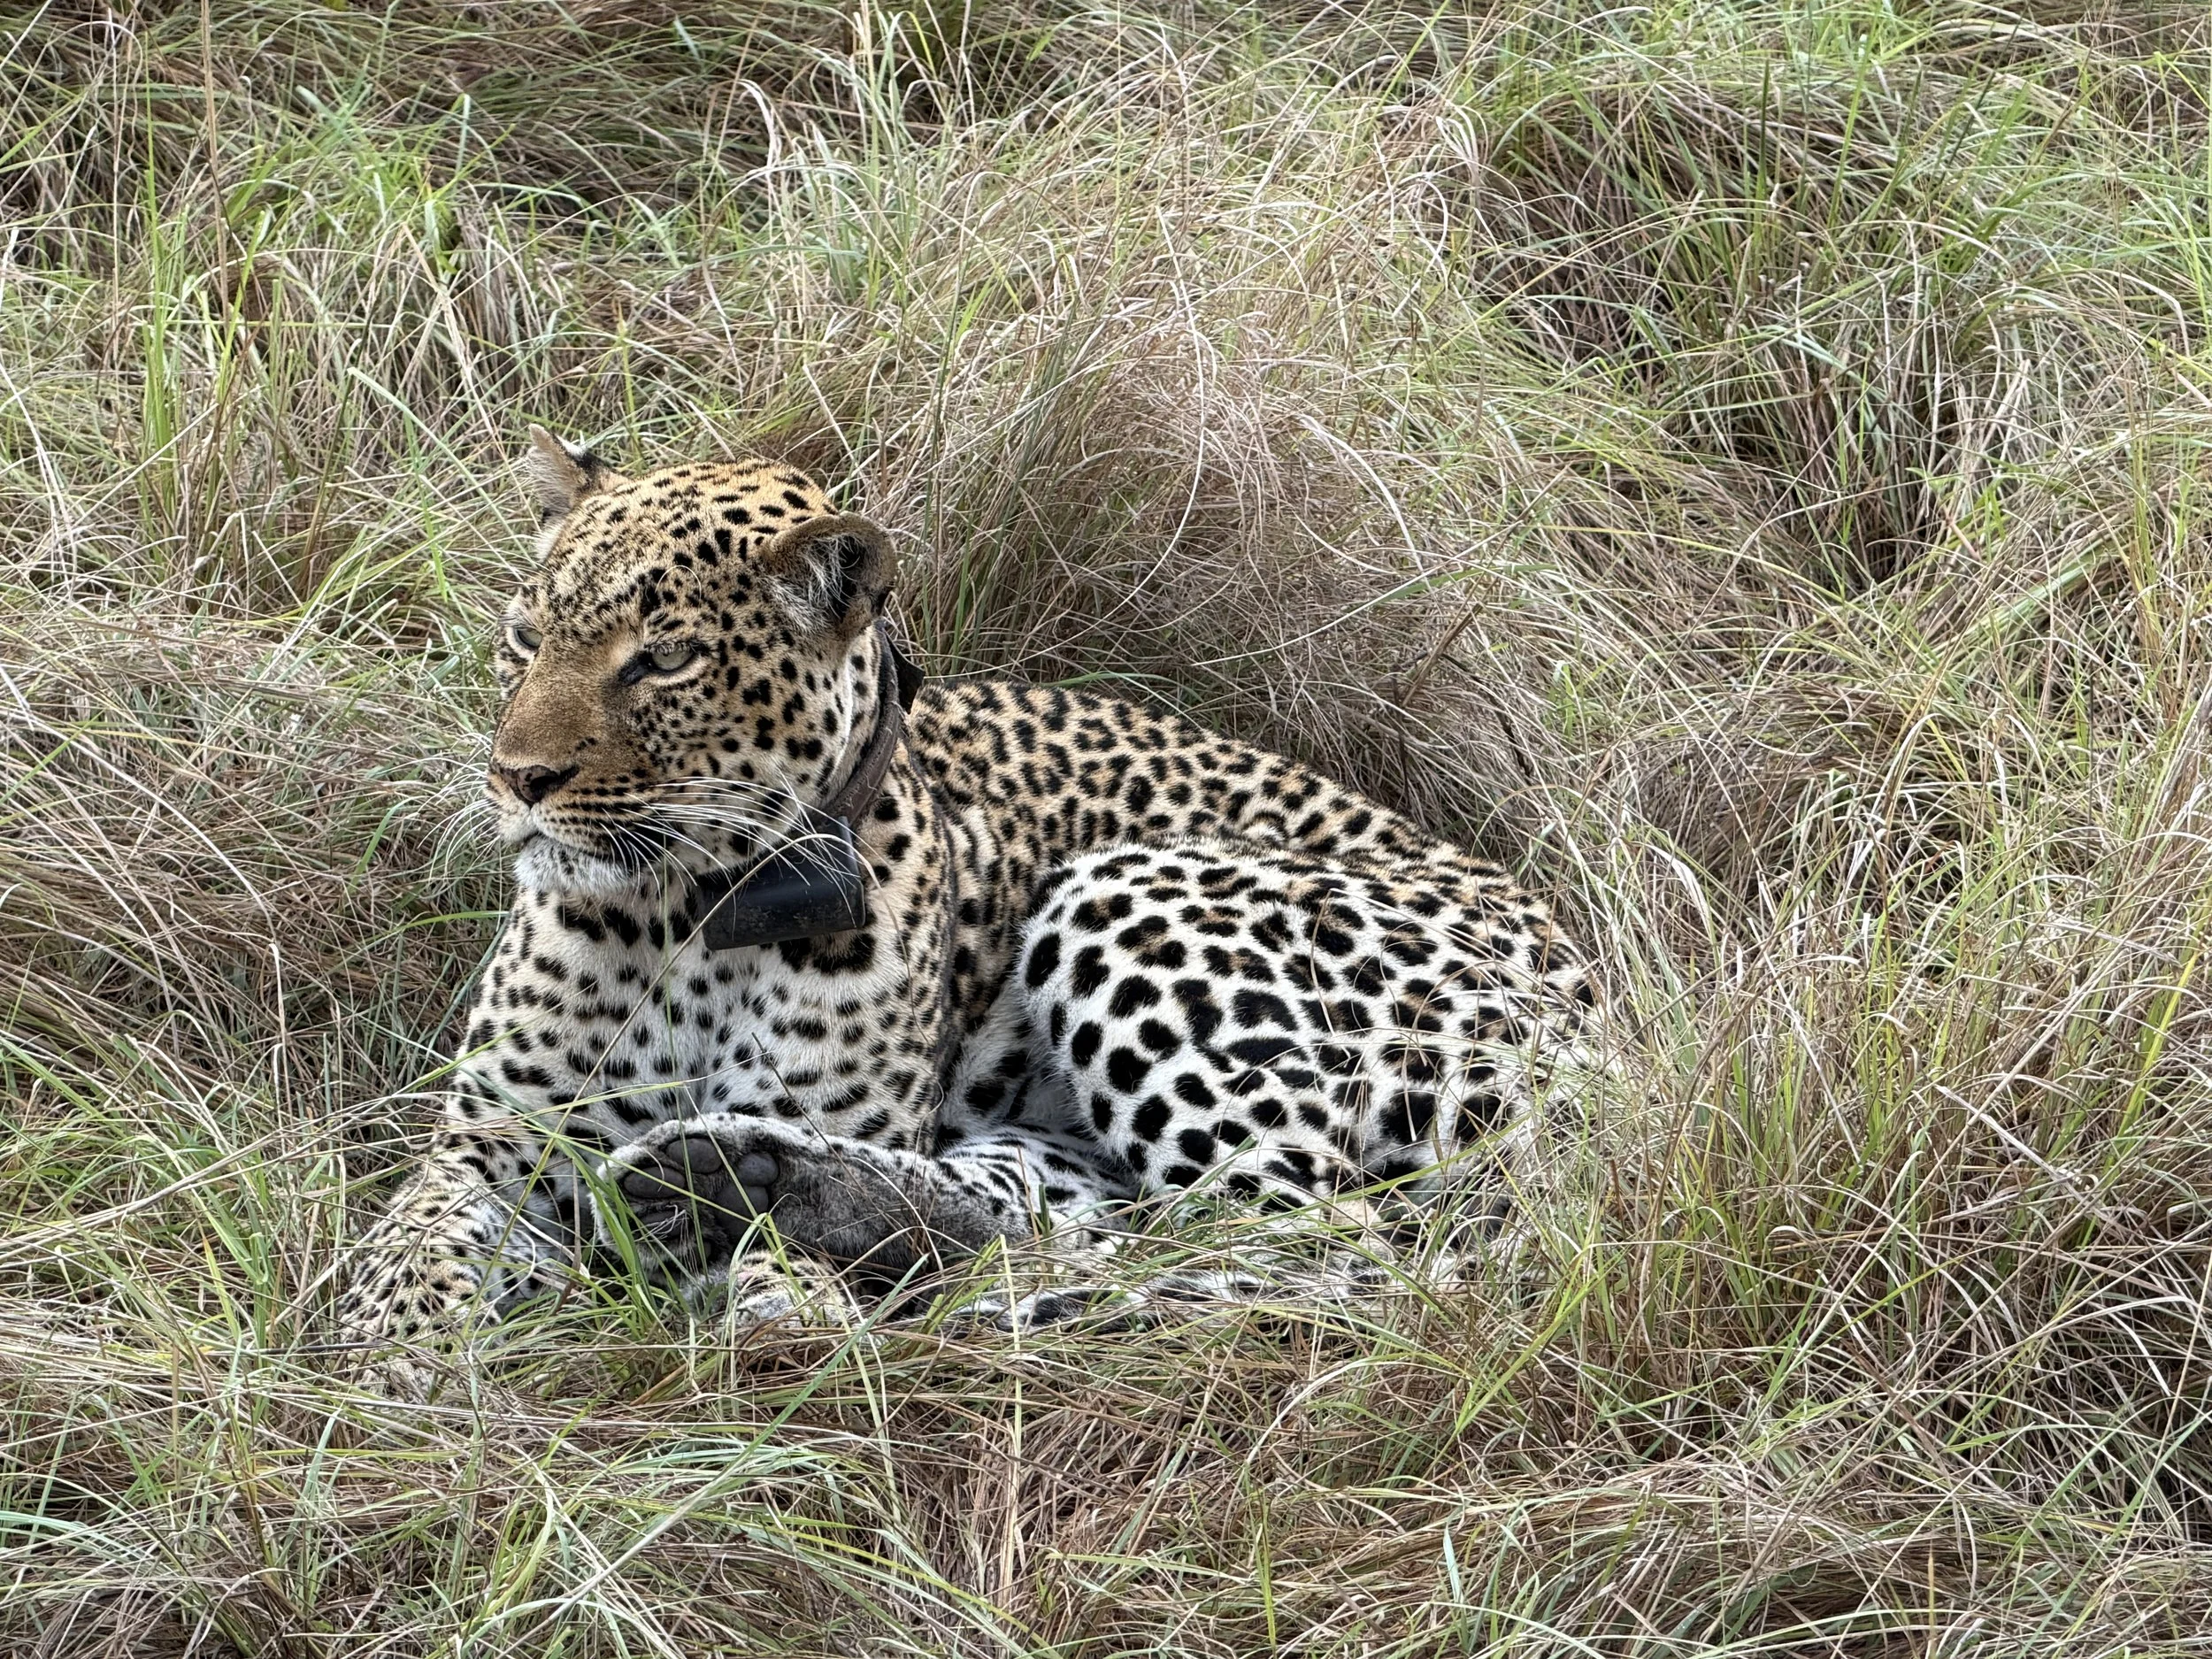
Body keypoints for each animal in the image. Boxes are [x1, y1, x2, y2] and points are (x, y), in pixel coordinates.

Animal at [334, 428, 1600, 1384]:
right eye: (524, 639)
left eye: (663, 661)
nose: (516, 778)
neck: (686, 921)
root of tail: (1596, 1009)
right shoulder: (490, 1139)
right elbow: (414, 1239)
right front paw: (384, 1361)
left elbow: (769, 1282)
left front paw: (784, 1317)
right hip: (1067, 1123)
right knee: (1074, 1211)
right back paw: (782, 1191)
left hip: (1134, 893)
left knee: (1330, 1261)